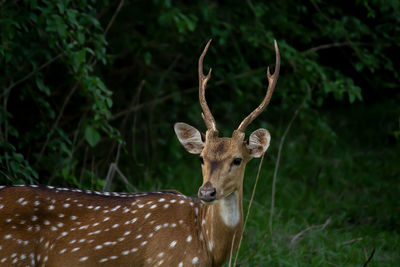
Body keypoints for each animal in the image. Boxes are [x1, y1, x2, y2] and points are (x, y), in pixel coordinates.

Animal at [0, 40, 282, 267]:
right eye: (202, 158)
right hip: (13, 257)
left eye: (237, 159)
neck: (207, 248)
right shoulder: (169, 261)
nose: (206, 192)